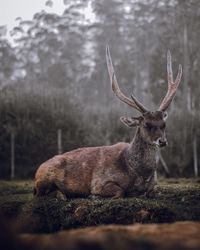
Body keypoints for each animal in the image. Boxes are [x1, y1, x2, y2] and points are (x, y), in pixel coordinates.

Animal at [33, 46, 182, 198]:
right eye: (146, 124)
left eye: (164, 124)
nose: (162, 141)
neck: (139, 174)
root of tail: (37, 170)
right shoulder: (99, 181)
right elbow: (120, 191)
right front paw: (93, 196)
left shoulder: (153, 185)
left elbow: (153, 192)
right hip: (44, 176)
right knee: (40, 192)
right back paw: (62, 195)